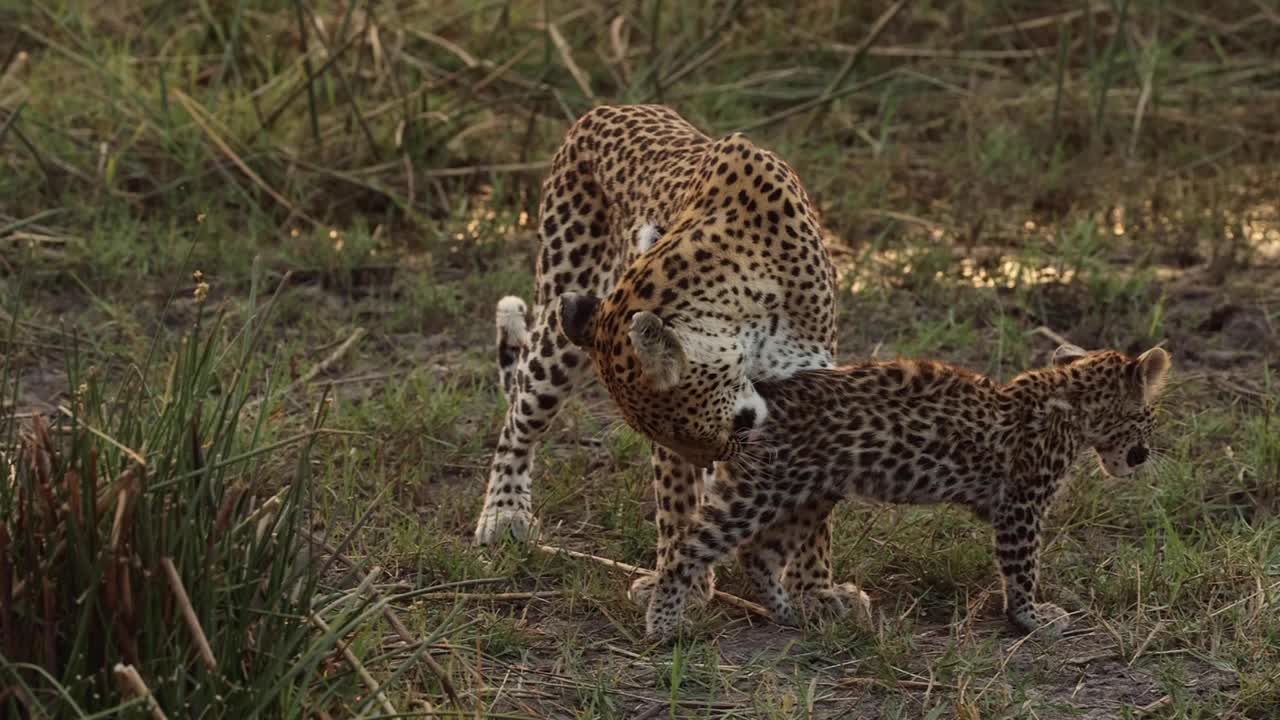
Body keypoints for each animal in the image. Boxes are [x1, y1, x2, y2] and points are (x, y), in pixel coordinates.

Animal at [477, 104, 843, 610]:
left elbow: (814, 509)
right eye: (674, 438)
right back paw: (503, 513)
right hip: (559, 323)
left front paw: (816, 592)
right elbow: (676, 500)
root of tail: (605, 109)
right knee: (519, 417)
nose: (723, 456)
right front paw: (680, 586)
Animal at [631, 338, 1171, 642]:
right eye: (1149, 414)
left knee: (758, 556)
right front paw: (1030, 617)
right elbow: (1022, 569)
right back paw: (664, 626)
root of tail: (764, 395)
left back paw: (796, 615)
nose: (1146, 454)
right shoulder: (1021, 505)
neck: (1071, 401)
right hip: (757, 494)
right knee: (688, 548)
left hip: (807, 493)